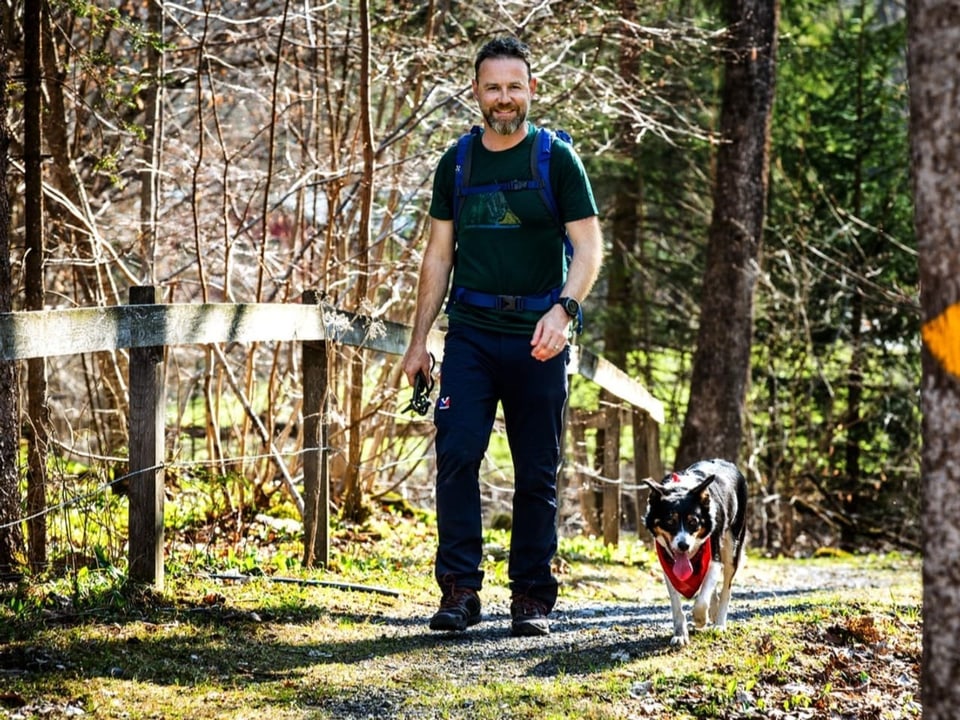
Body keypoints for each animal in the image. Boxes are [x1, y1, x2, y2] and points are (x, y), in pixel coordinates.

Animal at [644, 458, 752, 648]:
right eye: (670, 521)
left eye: (693, 522)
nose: (683, 545)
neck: (680, 489)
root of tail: (729, 463)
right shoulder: (668, 567)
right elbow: (676, 605)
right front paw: (680, 634)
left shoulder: (714, 558)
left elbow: (702, 600)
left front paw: (700, 619)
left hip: (733, 546)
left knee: (726, 588)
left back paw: (719, 623)